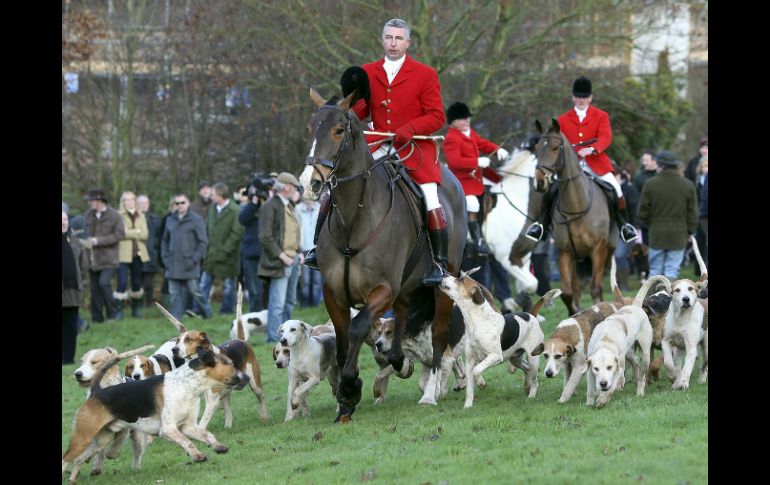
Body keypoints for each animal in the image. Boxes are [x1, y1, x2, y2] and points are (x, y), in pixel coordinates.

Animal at [300, 87, 464, 420]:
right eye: (310, 129)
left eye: (339, 130)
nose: (310, 183)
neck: (354, 219)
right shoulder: (332, 293)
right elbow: (342, 339)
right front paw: (345, 401)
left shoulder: (382, 290)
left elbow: (358, 327)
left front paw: (350, 388)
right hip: (404, 287)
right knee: (401, 317)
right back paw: (400, 362)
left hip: (442, 285)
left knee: (439, 336)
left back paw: (430, 393)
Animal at [524, 118, 616, 314]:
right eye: (536, 148)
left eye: (555, 148)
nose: (539, 183)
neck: (576, 207)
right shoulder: (565, 252)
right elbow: (567, 293)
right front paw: (575, 313)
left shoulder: (599, 249)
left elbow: (596, 289)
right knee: (576, 287)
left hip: (607, 252)